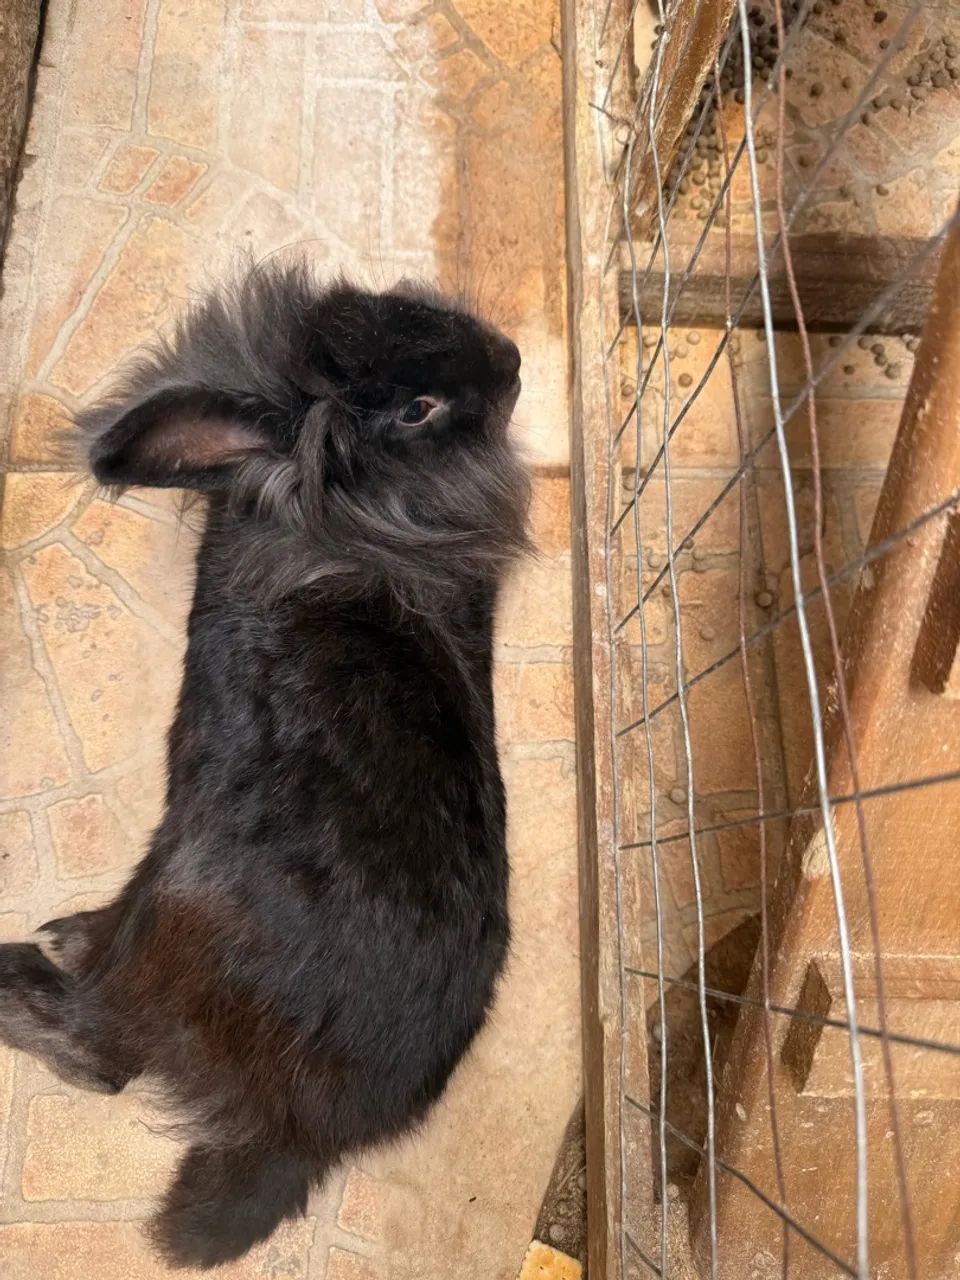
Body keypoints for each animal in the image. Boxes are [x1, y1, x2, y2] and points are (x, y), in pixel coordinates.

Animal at [0, 263, 531, 1269]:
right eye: (418, 407)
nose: (515, 361)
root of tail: (300, 1133)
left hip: (174, 899)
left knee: (105, 1057)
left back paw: (17, 976)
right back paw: (65, 938)